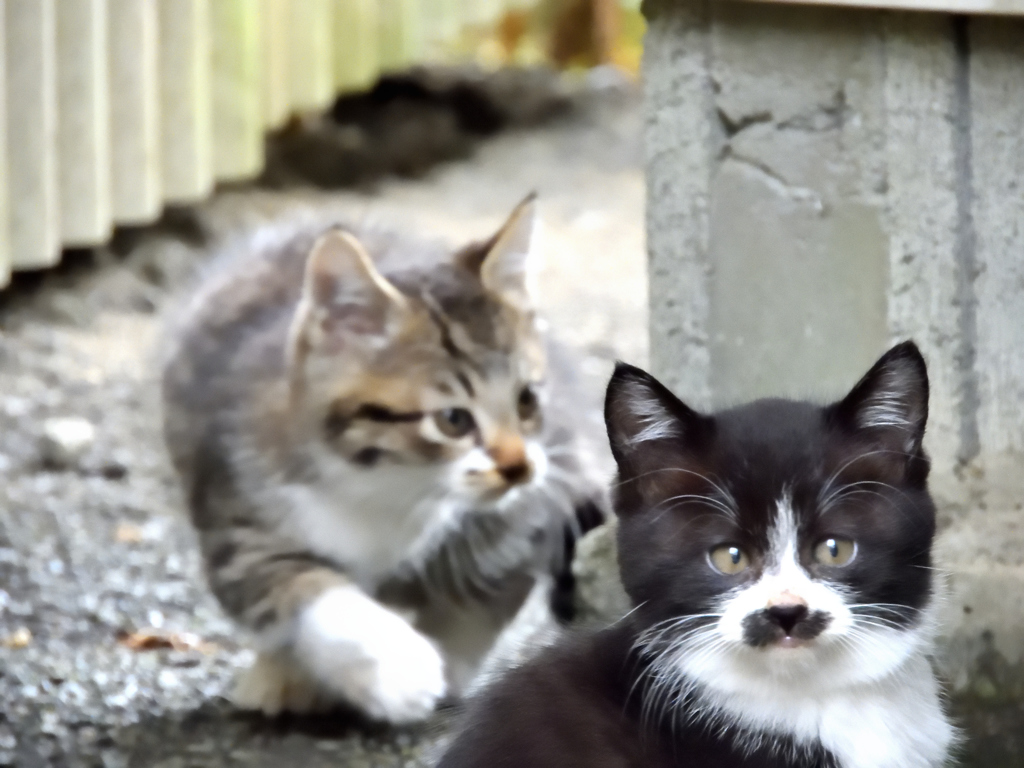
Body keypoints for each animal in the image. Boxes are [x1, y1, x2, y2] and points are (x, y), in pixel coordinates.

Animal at [162, 196, 602, 720]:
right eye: (453, 420)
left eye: (526, 400)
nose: (518, 468)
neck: (392, 487)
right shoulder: (239, 522)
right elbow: (300, 589)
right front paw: (394, 667)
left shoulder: (531, 510)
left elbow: (483, 595)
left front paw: (450, 665)